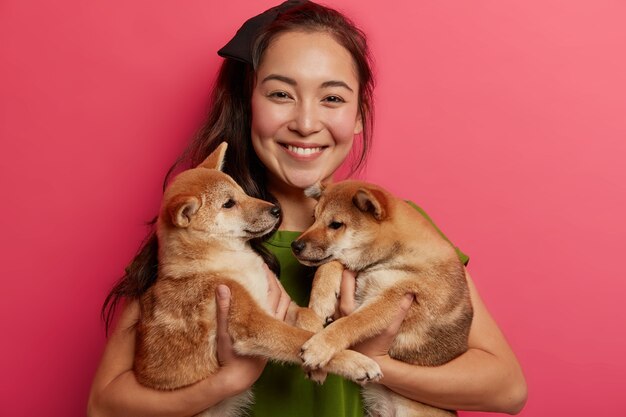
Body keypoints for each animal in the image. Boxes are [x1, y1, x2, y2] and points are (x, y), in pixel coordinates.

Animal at [133, 144, 380, 416]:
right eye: (229, 204)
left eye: (242, 192)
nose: (276, 210)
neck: (229, 261)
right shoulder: (253, 322)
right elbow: (295, 337)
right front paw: (353, 361)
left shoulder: (278, 305)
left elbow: (306, 320)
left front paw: (320, 344)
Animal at [290, 180, 470, 416]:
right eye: (313, 218)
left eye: (336, 224)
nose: (295, 246)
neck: (394, 254)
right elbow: (329, 264)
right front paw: (321, 300)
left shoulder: (394, 299)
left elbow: (352, 322)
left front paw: (319, 346)